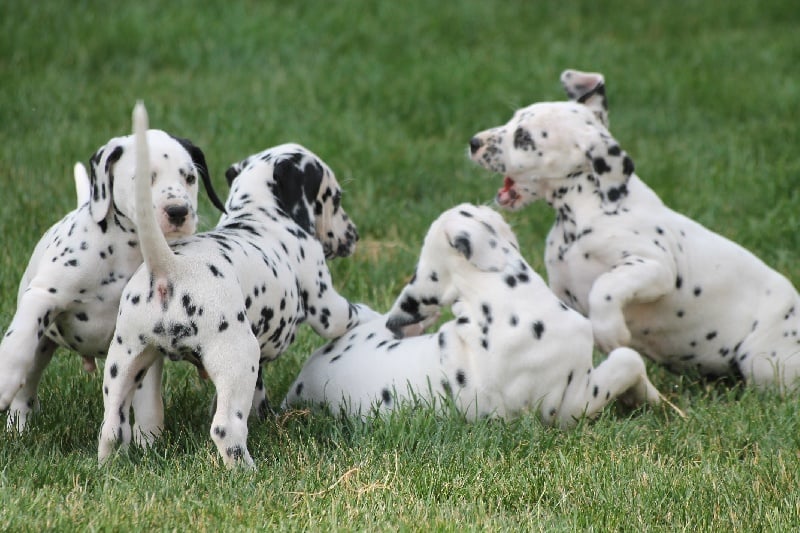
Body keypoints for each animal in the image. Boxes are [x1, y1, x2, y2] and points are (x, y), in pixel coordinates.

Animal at [0, 113, 225, 432]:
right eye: (143, 178)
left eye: (190, 178)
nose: (178, 211)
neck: (125, 252)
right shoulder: (43, 295)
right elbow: (18, 341)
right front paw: (5, 378)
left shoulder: (142, 339)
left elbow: (148, 403)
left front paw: (149, 438)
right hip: (42, 345)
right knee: (27, 387)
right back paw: (18, 426)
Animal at [97, 102, 378, 468]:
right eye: (335, 197)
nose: (354, 236)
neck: (259, 213)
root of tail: (170, 267)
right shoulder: (326, 305)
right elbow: (354, 313)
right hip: (238, 356)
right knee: (226, 428)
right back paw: (246, 471)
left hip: (125, 359)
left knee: (111, 426)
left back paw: (105, 467)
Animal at [282, 202, 664, 426]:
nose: (396, 323)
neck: (502, 301)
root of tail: (298, 390)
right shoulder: (570, 403)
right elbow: (627, 360)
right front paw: (652, 399)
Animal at [466, 68, 800, 388]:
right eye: (512, 120)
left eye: (524, 138)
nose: (473, 142)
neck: (586, 212)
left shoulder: (655, 267)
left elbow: (605, 287)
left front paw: (611, 332)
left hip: (763, 361)